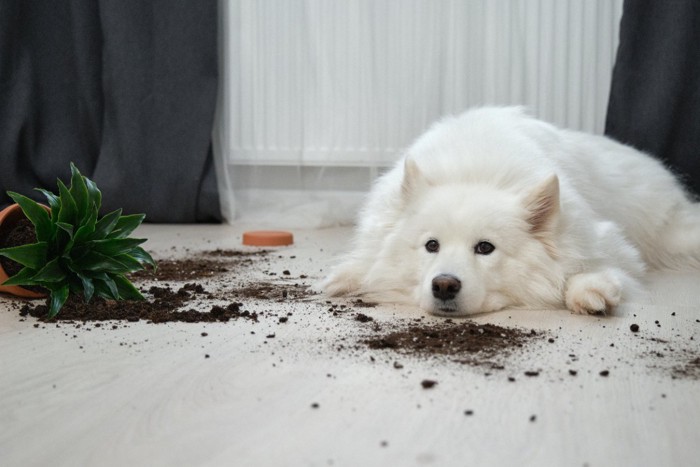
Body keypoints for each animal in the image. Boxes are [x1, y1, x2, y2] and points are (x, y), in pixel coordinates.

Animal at [322, 108, 700, 316]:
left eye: (485, 248)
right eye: (431, 246)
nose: (444, 286)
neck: (473, 171)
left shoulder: (608, 241)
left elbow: (592, 266)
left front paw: (590, 291)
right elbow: (365, 262)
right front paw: (344, 277)